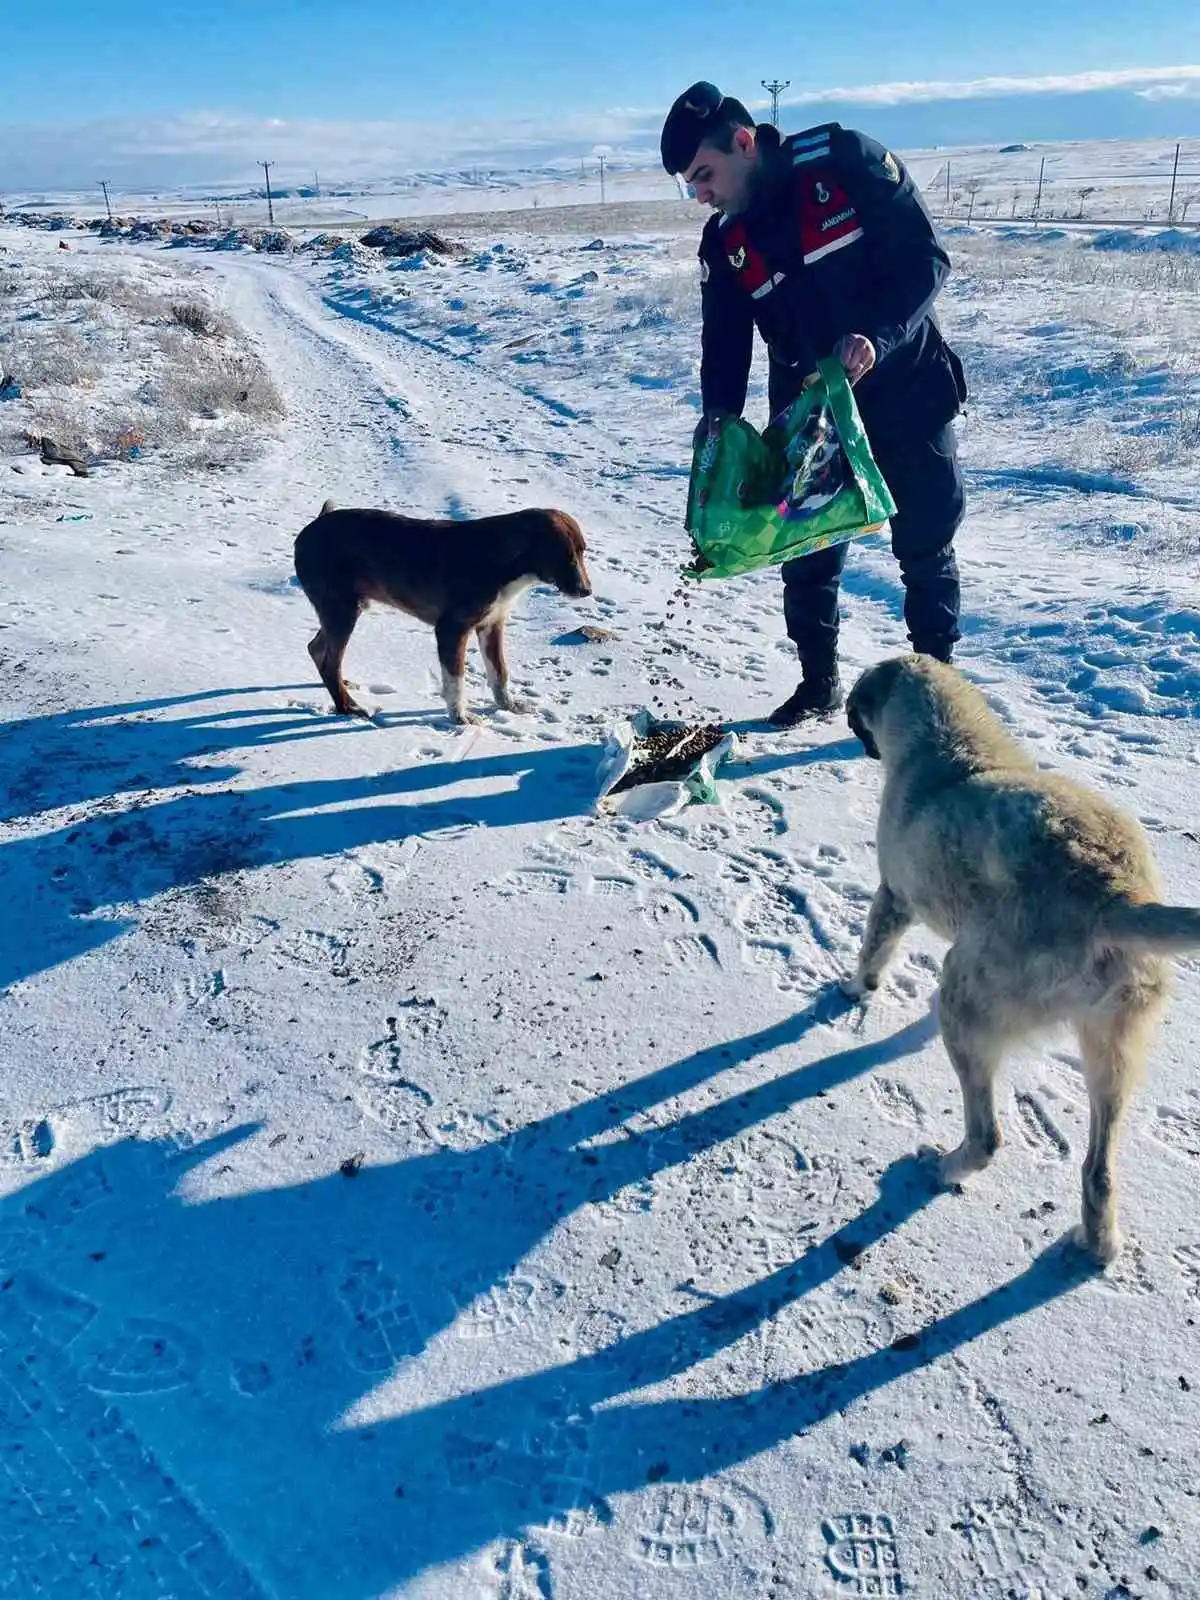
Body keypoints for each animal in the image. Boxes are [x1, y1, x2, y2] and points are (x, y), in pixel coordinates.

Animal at [292, 499, 592, 726]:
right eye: (564, 555)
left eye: (582, 552)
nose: (587, 590)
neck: (504, 562)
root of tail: (311, 528)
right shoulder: (452, 628)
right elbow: (456, 679)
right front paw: (460, 718)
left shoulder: (492, 624)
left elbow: (499, 672)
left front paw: (508, 705)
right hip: (341, 609)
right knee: (330, 660)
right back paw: (348, 708)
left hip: (342, 608)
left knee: (317, 648)